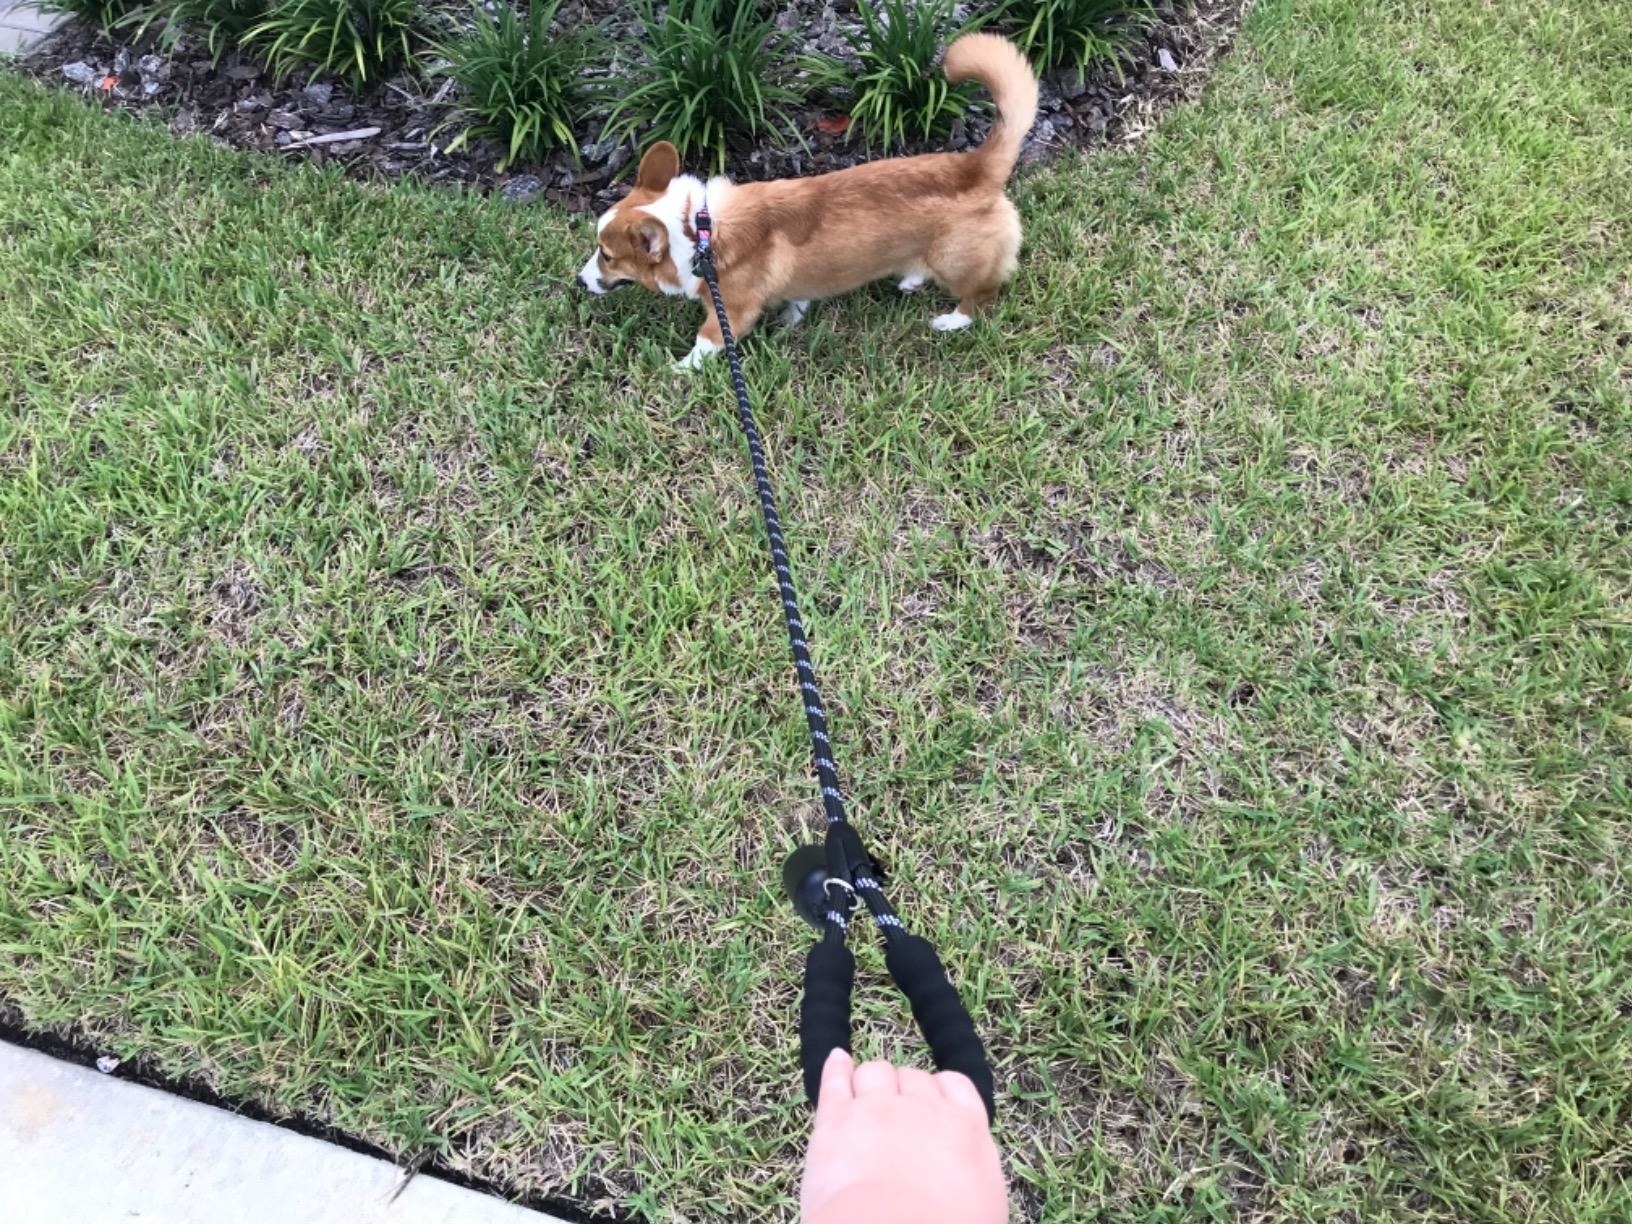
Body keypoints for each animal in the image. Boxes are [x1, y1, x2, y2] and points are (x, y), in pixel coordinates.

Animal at [580, 33, 1037, 368]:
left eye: (608, 256)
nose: (580, 281)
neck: (699, 231)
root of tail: (977, 166)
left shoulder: (731, 313)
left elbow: (705, 342)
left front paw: (679, 370)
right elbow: (798, 297)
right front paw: (790, 318)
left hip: (954, 261)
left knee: (981, 294)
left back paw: (951, 320)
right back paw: (909, 277)